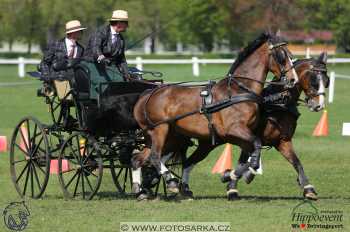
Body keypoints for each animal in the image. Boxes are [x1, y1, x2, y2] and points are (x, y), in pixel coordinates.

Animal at [133, 32, 298, 192]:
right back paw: (170, 182)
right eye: (282, 56)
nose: (293, 80)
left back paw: (140, 189)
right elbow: (256, 146)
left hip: (168, 136)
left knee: (139, 159)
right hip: (160, 130)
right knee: (155, 156)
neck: (239, 90)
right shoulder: (235, 130)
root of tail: (147, 94)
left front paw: (233, 175)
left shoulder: (241, 136)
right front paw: (237, 174)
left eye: (291, 55)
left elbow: (250, 154)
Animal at [176, 52, 330, 199]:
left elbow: (296, 162)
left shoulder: (282, 141)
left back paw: (184, 189)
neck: (277, 104)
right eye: (314, 81)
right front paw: (233, 182)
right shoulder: (249, 139)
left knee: (188, 163)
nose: (319, 105)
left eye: (327, 81)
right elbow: (245, 163)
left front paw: (308, 189)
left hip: (206, 144)